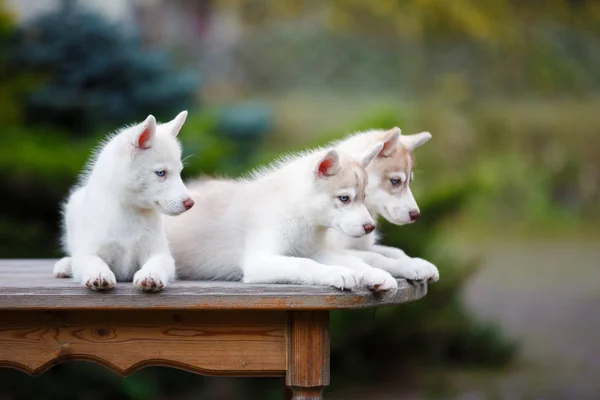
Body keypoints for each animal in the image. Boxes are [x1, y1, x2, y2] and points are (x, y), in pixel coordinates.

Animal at [53, 111, 195, 292]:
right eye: (161, 173)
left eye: (179, 172)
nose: (190, 203)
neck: (129, 212)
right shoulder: (89, 252)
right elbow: (92, 261)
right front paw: (100, 274)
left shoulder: (160, 253)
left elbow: (158, 263)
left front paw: (151, 275)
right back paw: (65, 265)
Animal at [165, 144, 398, 290]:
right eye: (344, 198)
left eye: (363, 198)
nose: (370, 227)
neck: (299, 215)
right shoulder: (259, 261)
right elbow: (304, 265)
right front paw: (338, 273)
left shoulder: (316, 251)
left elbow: (354, 260)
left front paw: (376, 274)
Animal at [328, 127, 440, 282]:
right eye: (395, 181)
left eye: (410, 182)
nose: (416, 215)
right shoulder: (337, 249)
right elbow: (376, 257)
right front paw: (411, 266)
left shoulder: (363, 246)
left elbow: (395, 251)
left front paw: (416, 261)